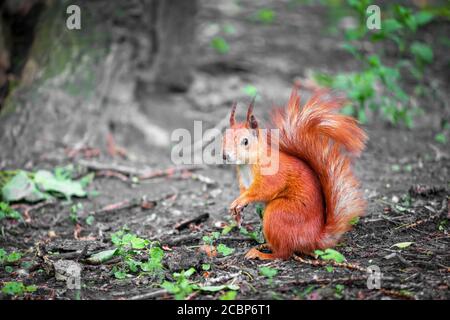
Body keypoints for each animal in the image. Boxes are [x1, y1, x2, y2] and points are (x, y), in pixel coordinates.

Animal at [223, 87, 368, 260]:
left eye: (245, 141)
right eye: (223, 137)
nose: (225, 156)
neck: (247, 165)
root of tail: (314, 238)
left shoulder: (271, 173)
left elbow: (264, 189)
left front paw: (240, 201)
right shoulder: (243, 181)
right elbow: (245, 191)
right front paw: (237, 210)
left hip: (277, 214)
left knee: (283, 253)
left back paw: (262, 254)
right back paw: (265, 245)